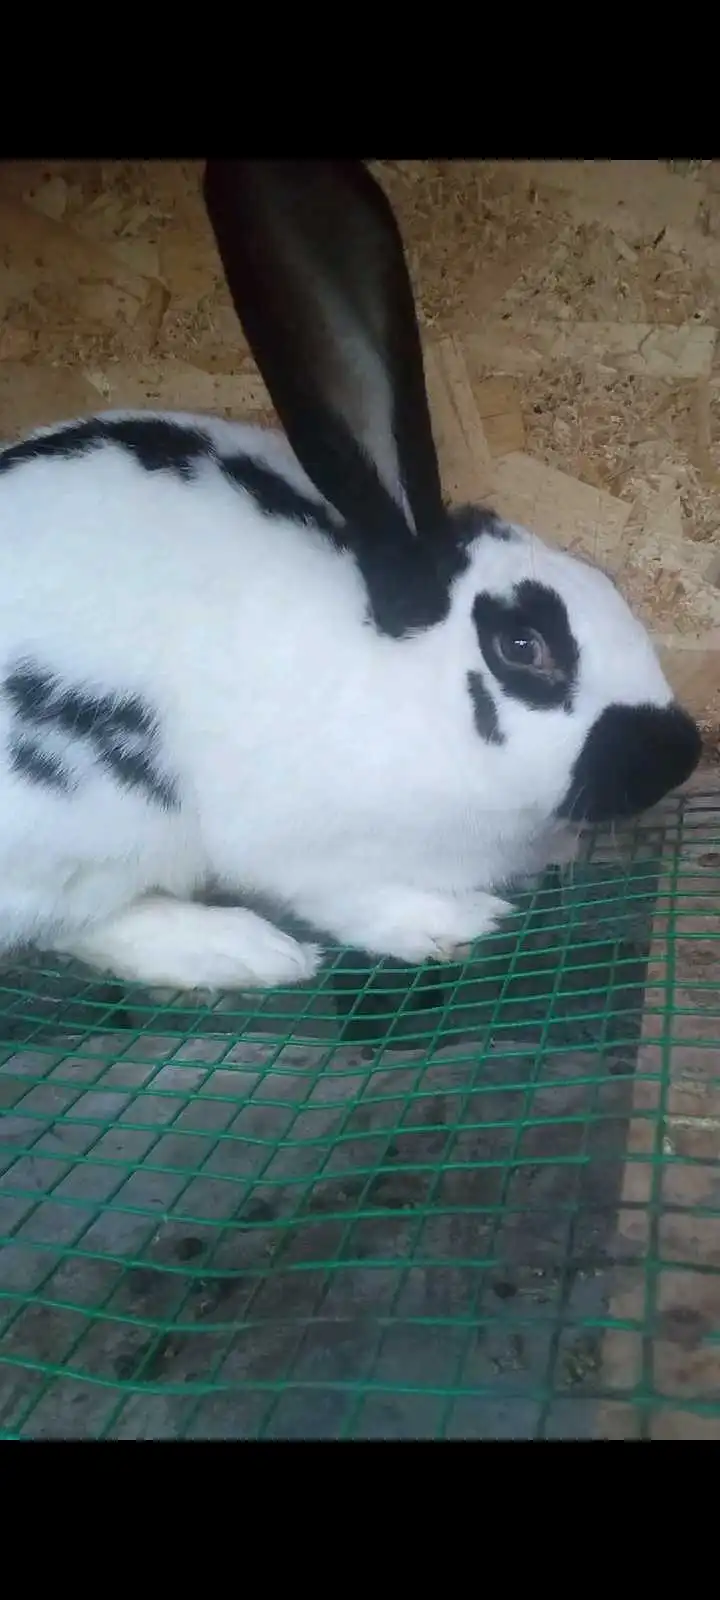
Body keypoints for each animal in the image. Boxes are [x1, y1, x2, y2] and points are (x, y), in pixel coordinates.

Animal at [0, 160, 702, 992]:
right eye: (522, 646)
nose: (681, 754)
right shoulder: (304, 851)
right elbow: (346, 897)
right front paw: (447, 924)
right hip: (93, 828)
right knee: (76, 926)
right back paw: (244, 952)